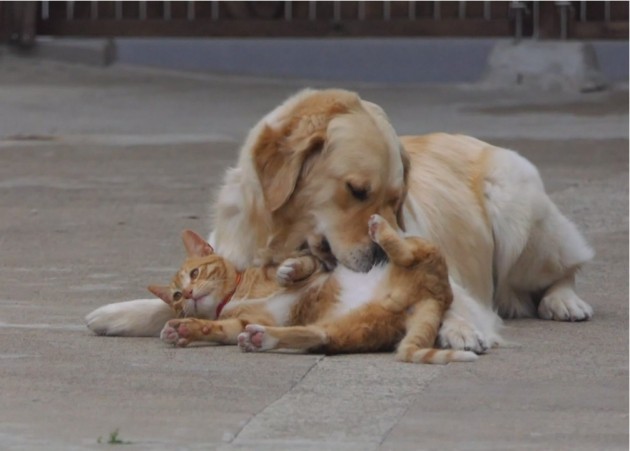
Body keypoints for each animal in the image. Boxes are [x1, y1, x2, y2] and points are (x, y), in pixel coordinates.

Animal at [154, 215, 478, 364]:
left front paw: (289, 271)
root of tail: (432, 297)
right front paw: (185, 329)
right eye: (177, 296)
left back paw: (380, 228)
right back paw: (262, 339)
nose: (189, 294)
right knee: (318, 336)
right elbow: (221, 329)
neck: (235, 295)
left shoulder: (318, 264)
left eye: (195, 273)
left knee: (410, 253)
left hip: (423, 248)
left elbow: (304, 263)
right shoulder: (240, 322)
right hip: (350, 328)